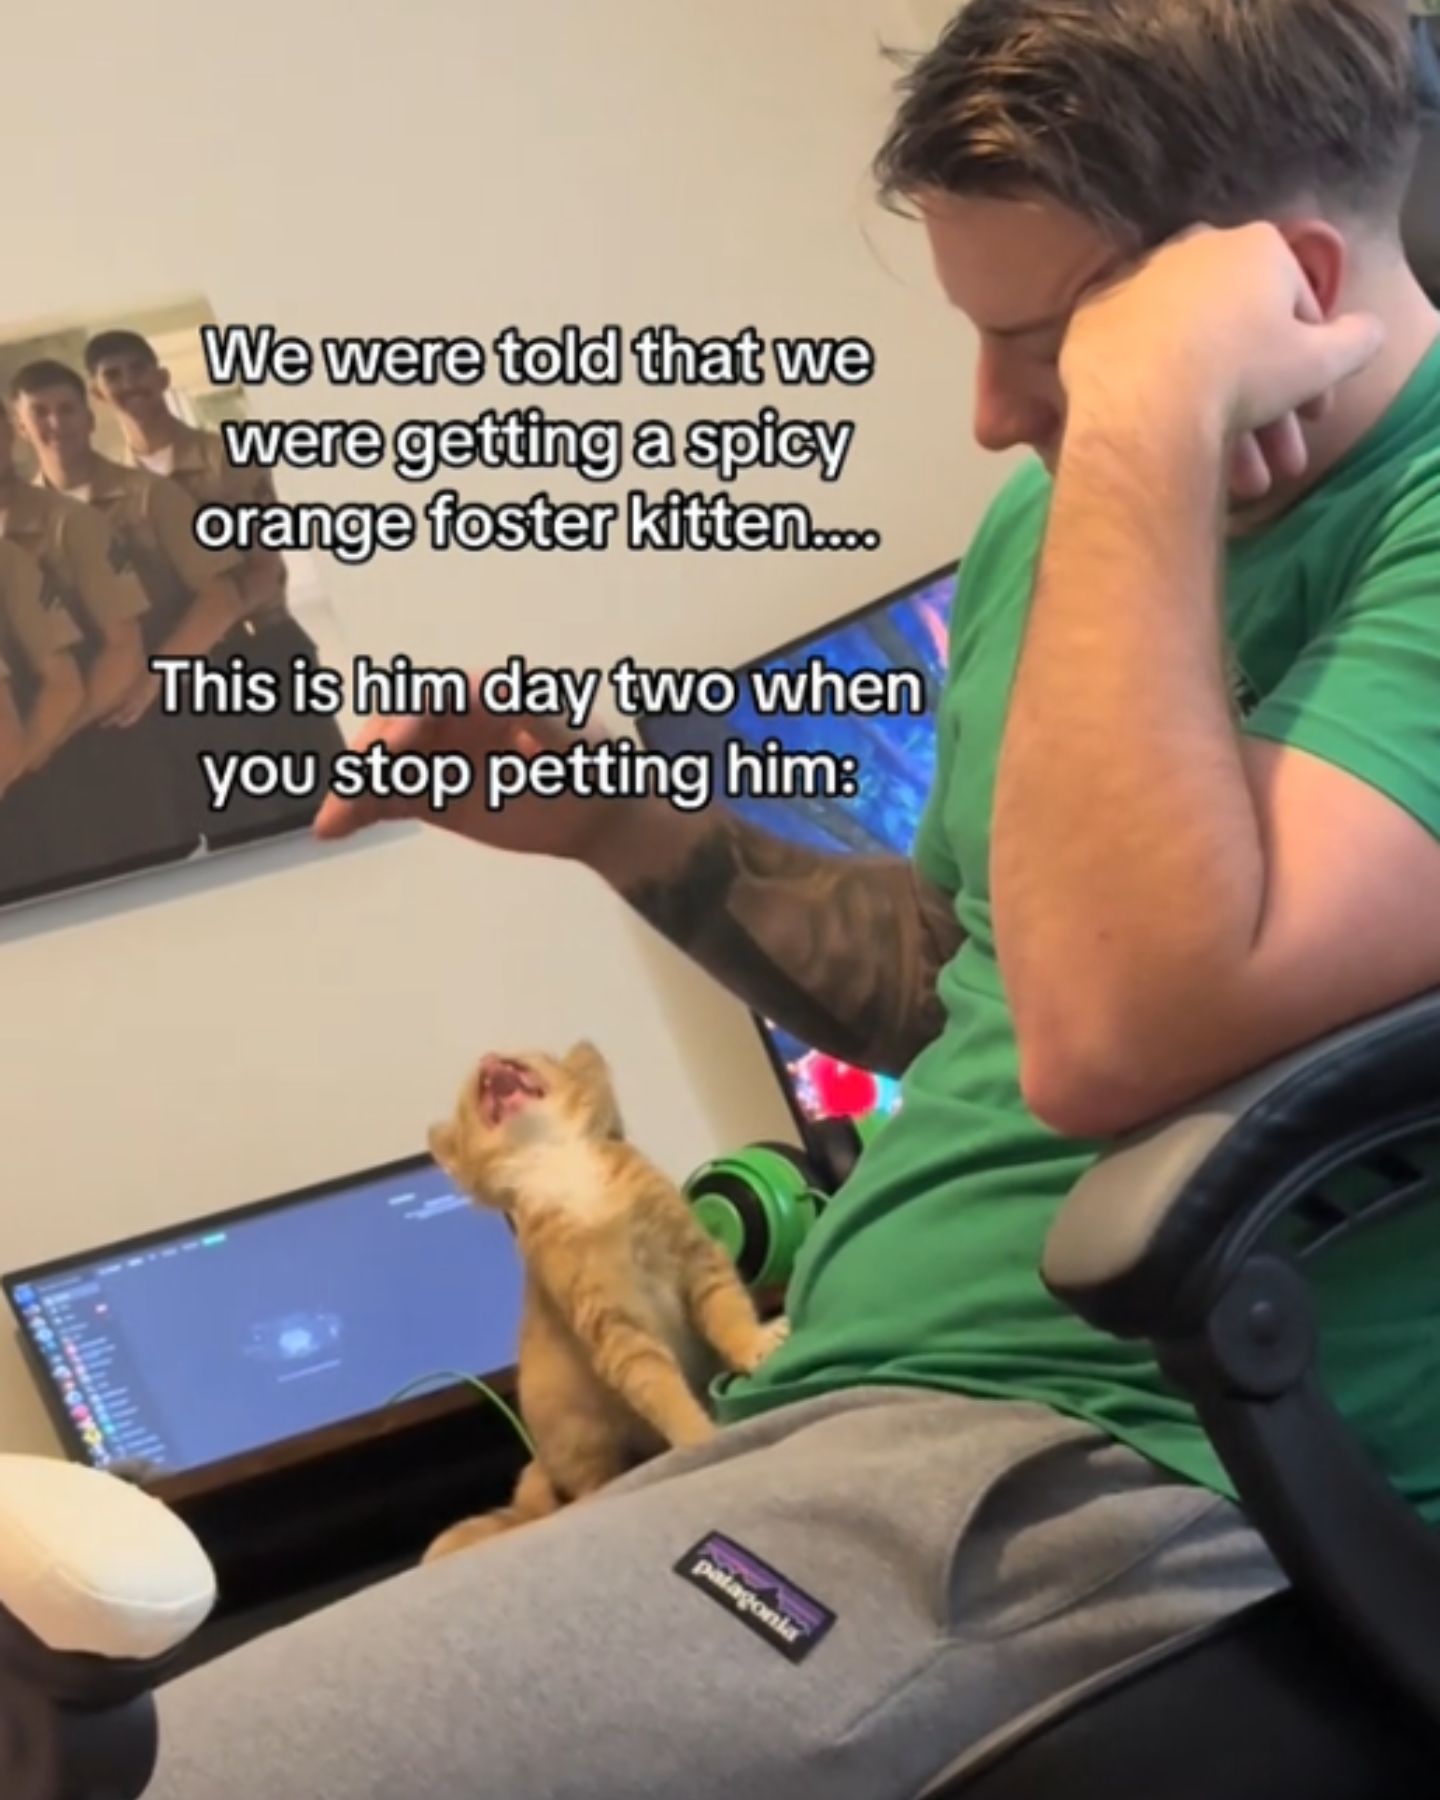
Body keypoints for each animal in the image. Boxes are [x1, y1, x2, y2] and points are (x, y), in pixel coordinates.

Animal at [421, 1044, 788, 1562]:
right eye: (471, 1095)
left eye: (525, 1055)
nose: (488, 1057)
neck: (559, 1161)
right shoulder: (613, 1326)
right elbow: (662, 1391)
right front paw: (702, 1440)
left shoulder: (696, 1258)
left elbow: (726, 1309)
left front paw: (753, 1344)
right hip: (573, 1432)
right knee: (593, 1486)